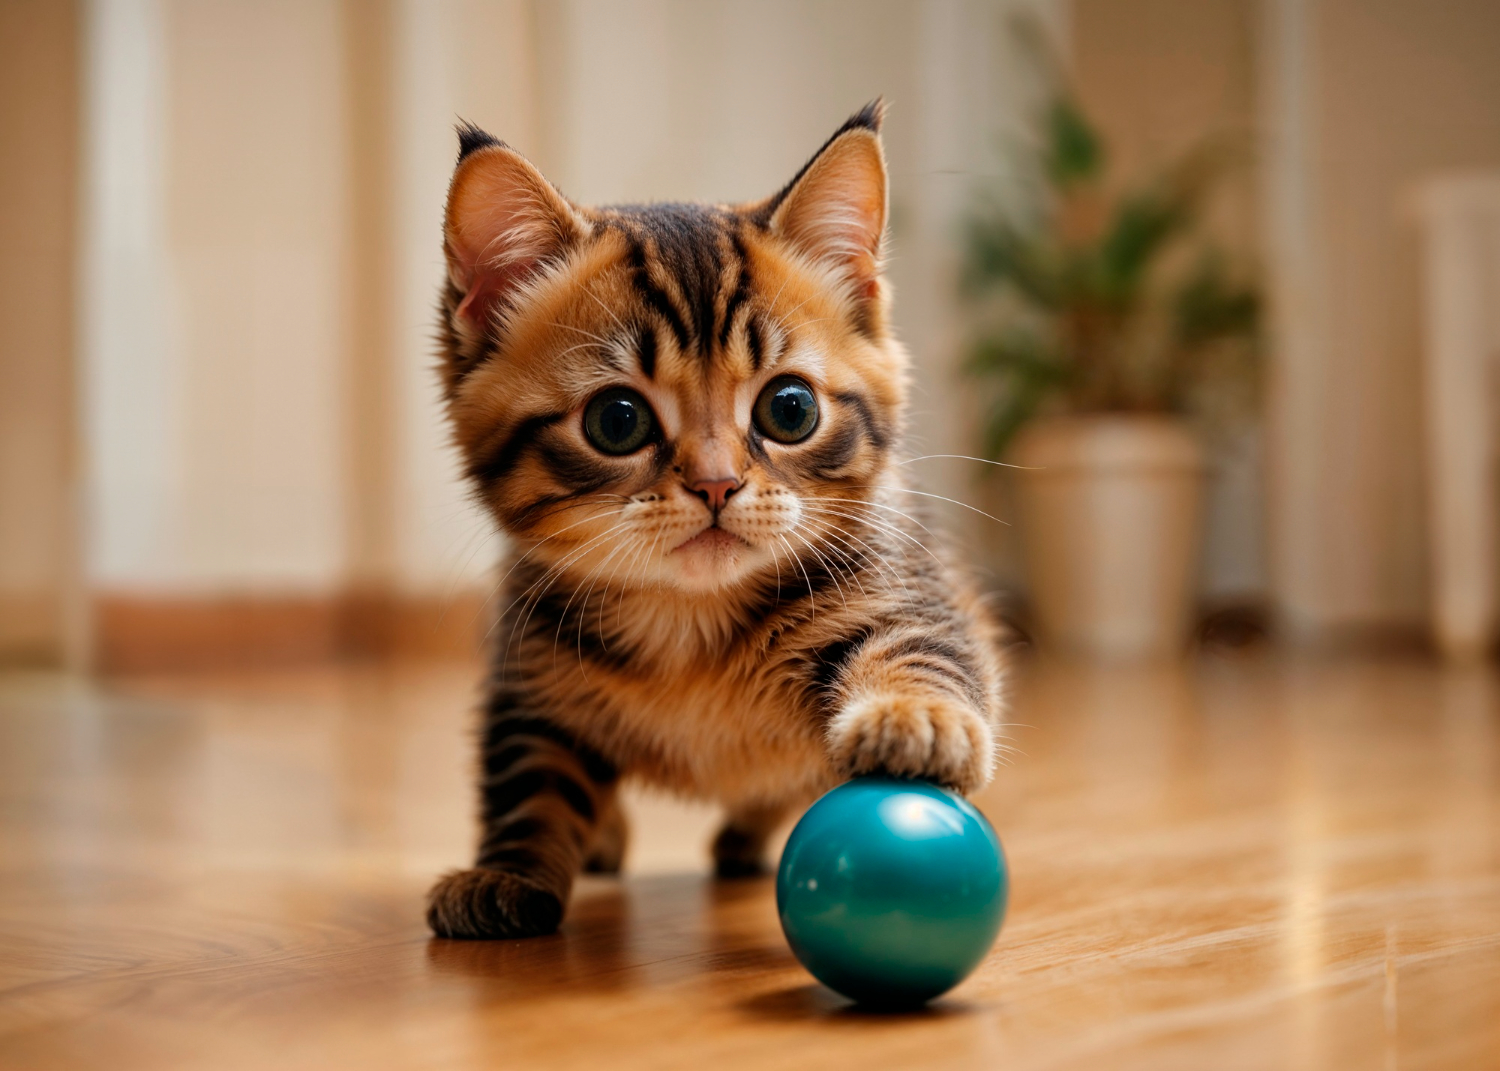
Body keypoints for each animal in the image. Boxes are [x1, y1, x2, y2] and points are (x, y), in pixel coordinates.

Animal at [429, 100, 1002, 936]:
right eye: (617, 420)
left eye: (790, 409)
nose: (716, 483)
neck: (688, 621)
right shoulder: (527, 669)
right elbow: (529, 779)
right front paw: (508, 869)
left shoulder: (904, 587)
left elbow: (923, 649)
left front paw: (914, 715)